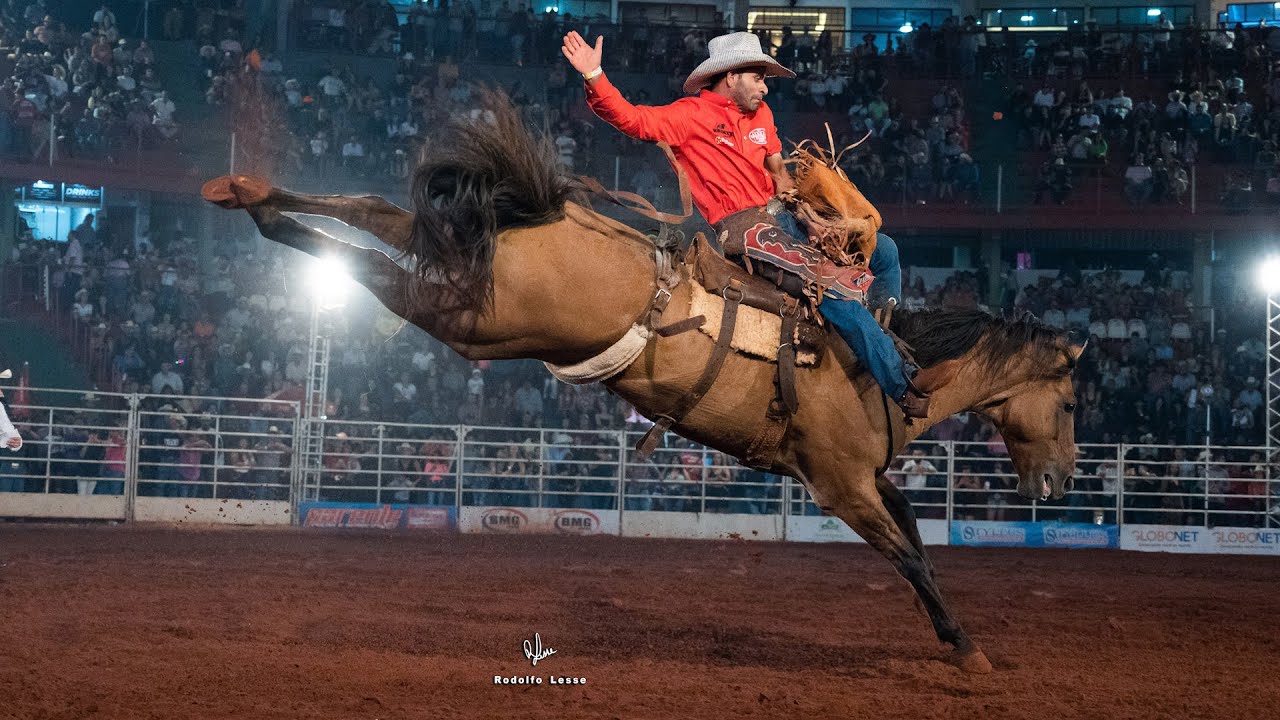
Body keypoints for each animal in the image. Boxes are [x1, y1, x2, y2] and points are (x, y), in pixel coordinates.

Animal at [202, 99, 1083, 674]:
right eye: (1074, 401)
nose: (1061, 481)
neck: (884, 364)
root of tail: (552, 213)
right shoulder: (841, 487)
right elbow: (908, 558)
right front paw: (966, 649)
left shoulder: (872, 478)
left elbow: (917, 541)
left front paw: (955, 637)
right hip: (475, 317)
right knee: (379, 271)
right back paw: (264, 214)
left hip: (470, 276)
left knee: (378, 217)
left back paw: (251, 195)